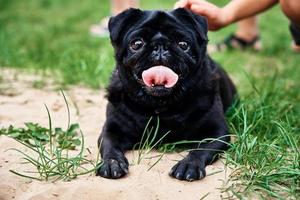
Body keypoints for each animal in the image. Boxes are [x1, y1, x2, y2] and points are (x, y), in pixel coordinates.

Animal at [96, 8, 237, 181]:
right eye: (136, 44)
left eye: (183, 45)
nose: (160, 46)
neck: (160, 105)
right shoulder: (111, 130)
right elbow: (110, 147)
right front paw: (112, 163)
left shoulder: (217, 133)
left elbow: (200, 150)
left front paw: (189, 165)